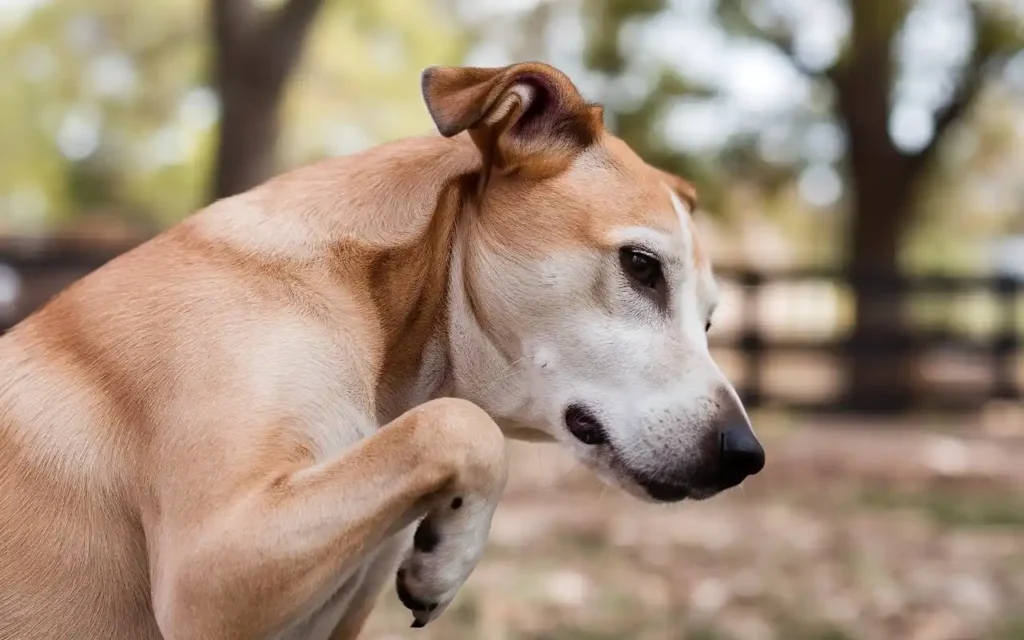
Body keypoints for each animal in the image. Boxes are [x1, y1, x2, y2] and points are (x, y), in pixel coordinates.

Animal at [0, 61, 761, 638]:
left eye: (711, 321)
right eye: (641, 266)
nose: (746, 457)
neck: (378, 304)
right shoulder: (210, 569)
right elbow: (462, 423)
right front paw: (450, 561)